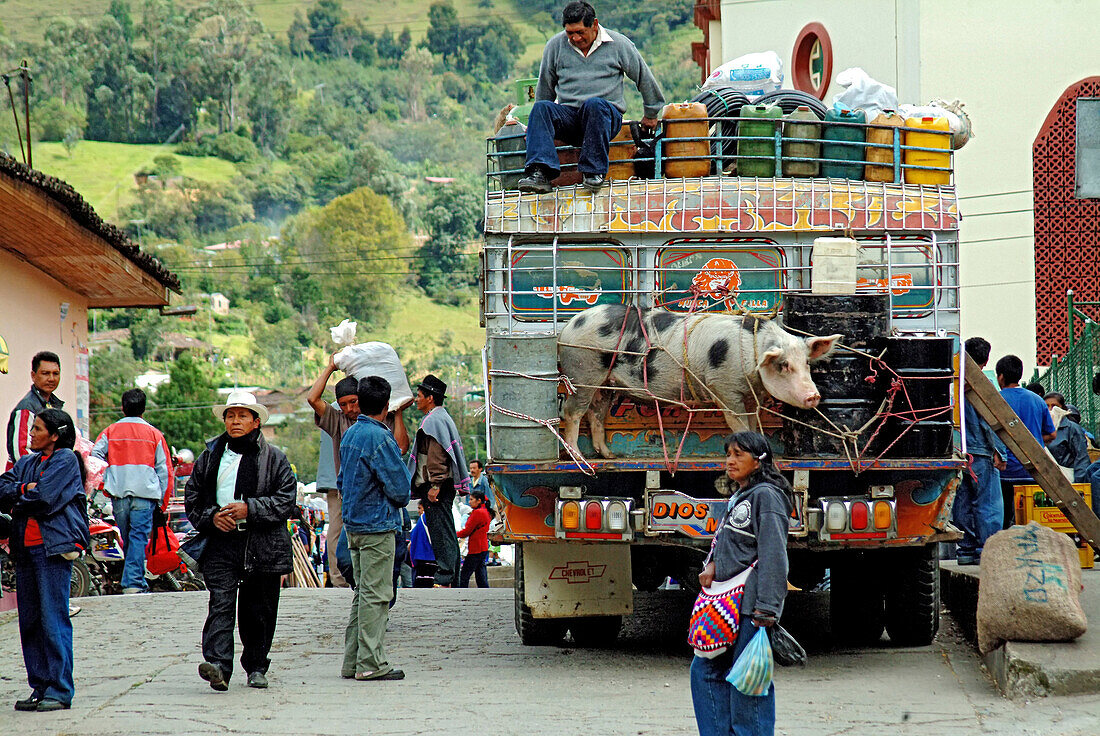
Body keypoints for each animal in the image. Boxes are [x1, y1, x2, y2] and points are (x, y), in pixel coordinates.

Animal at [558, 303, 840, 453]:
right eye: (783, 365)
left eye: (806, 363)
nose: (814, 396)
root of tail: (569, 326)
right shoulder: (724, 387)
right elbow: (738, 424)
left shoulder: (750, 395)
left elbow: (752, 424)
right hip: (582, 372)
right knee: (571, 412)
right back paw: (578, 457)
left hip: (606, 383)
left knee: (596, 413)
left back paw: (608, 456)